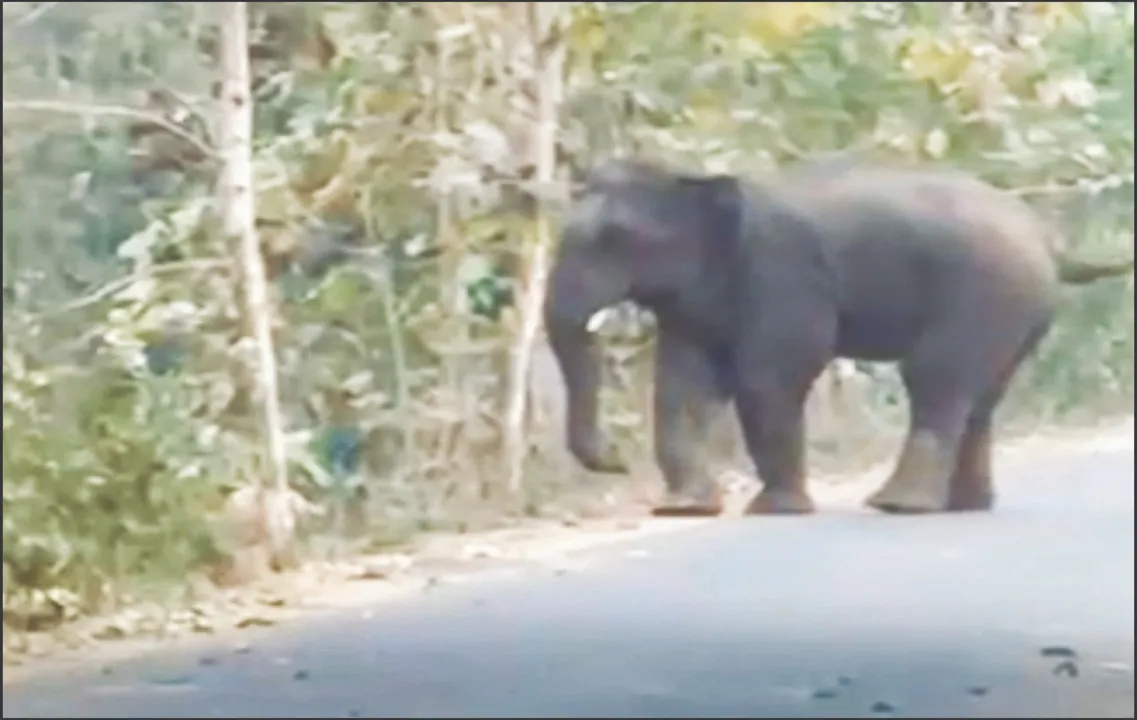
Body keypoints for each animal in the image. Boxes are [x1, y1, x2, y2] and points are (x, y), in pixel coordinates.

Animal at [542, 158, 1134, 517]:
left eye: (616, 238)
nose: (615, 459)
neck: (698, 181)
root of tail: (1048, 238)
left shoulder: (784, 273)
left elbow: (768, 377)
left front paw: (775, 510)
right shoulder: (697, 301)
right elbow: (682, 388)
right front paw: (685, 509)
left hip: (986, 292)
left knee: (935, 378)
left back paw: (896, 506)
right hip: (1019, 308)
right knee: (981, 397)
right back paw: (965, 505)